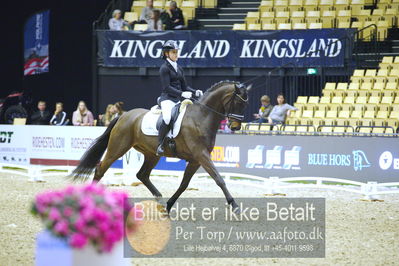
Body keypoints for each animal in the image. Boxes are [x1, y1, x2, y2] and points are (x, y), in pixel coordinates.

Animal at [70, 80, 248, 213]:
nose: (235, 127)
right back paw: (90, 200)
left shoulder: (195, 160)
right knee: (101, 169)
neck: (201, 117)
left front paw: (169, 206)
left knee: (142, 175)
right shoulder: (201, 155)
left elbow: (184, 184)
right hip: (118, 148)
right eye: (238, 101)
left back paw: (161, 200)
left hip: (152, 154)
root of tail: (123, 115)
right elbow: (219, 179)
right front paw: (235, 206)